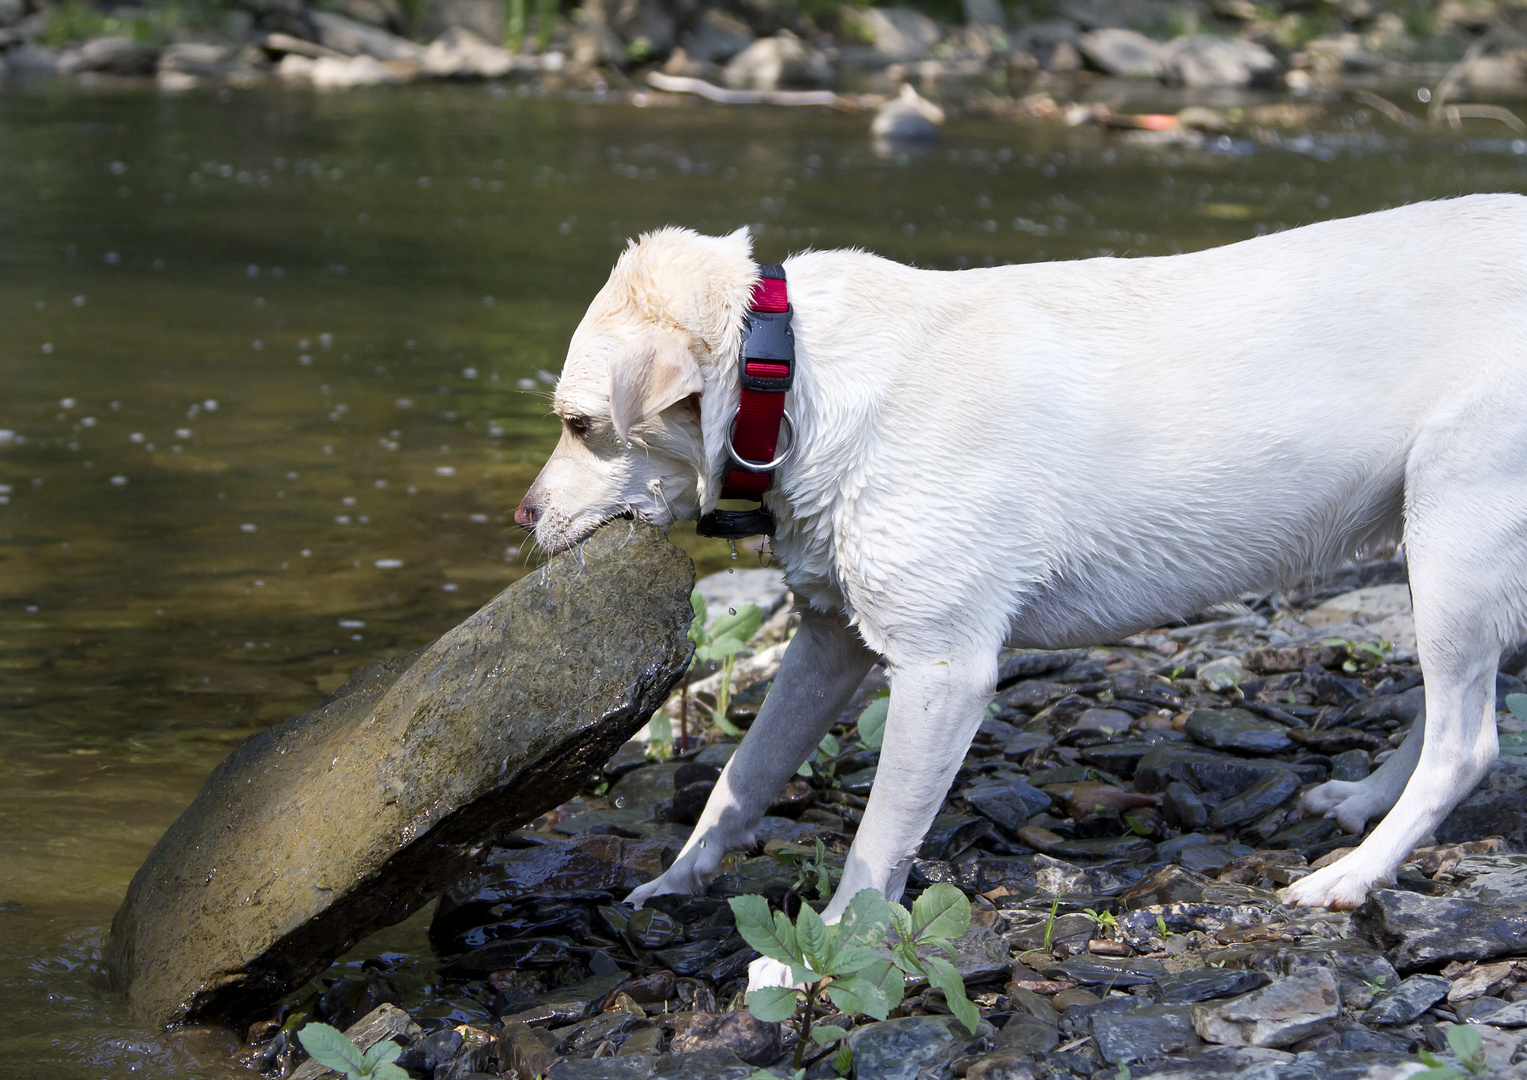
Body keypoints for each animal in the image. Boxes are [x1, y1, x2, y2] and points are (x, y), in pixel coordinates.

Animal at [516, 194, 1527, 965]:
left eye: (580, 425)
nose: (521, 519)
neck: (792, 374)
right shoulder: (829, 643)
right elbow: (744, 775)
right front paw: (674, 879)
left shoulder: (942, 672)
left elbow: (879, 840)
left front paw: (839, 942)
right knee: (1454, 712)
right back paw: (1360, 805)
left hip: (1452, 537)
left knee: (1466, 743)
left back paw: (1353, 875)